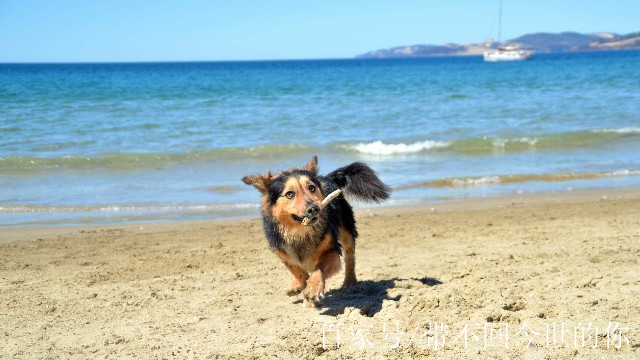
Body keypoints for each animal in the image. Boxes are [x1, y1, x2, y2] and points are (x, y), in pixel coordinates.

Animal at [241, 155, 388, 306]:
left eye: (311, 188)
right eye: (289, 194)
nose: (313, 208)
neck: (299, 232)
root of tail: (328, 177)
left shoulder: (332, 251)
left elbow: (320, 268)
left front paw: (312, 289)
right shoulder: (284, 254)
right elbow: (299, 272)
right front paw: (303, 286)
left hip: (346, 229)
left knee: (349, 256)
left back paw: (350, 281)